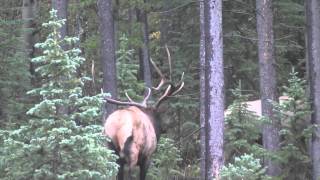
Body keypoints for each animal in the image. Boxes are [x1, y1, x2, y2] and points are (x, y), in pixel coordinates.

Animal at [104, 47, 184, 180]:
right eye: (160, 116)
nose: (166, 128)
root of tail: (116, 127)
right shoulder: (147, 156)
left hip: (112, 150)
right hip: (132, 151)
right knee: (130, 173)